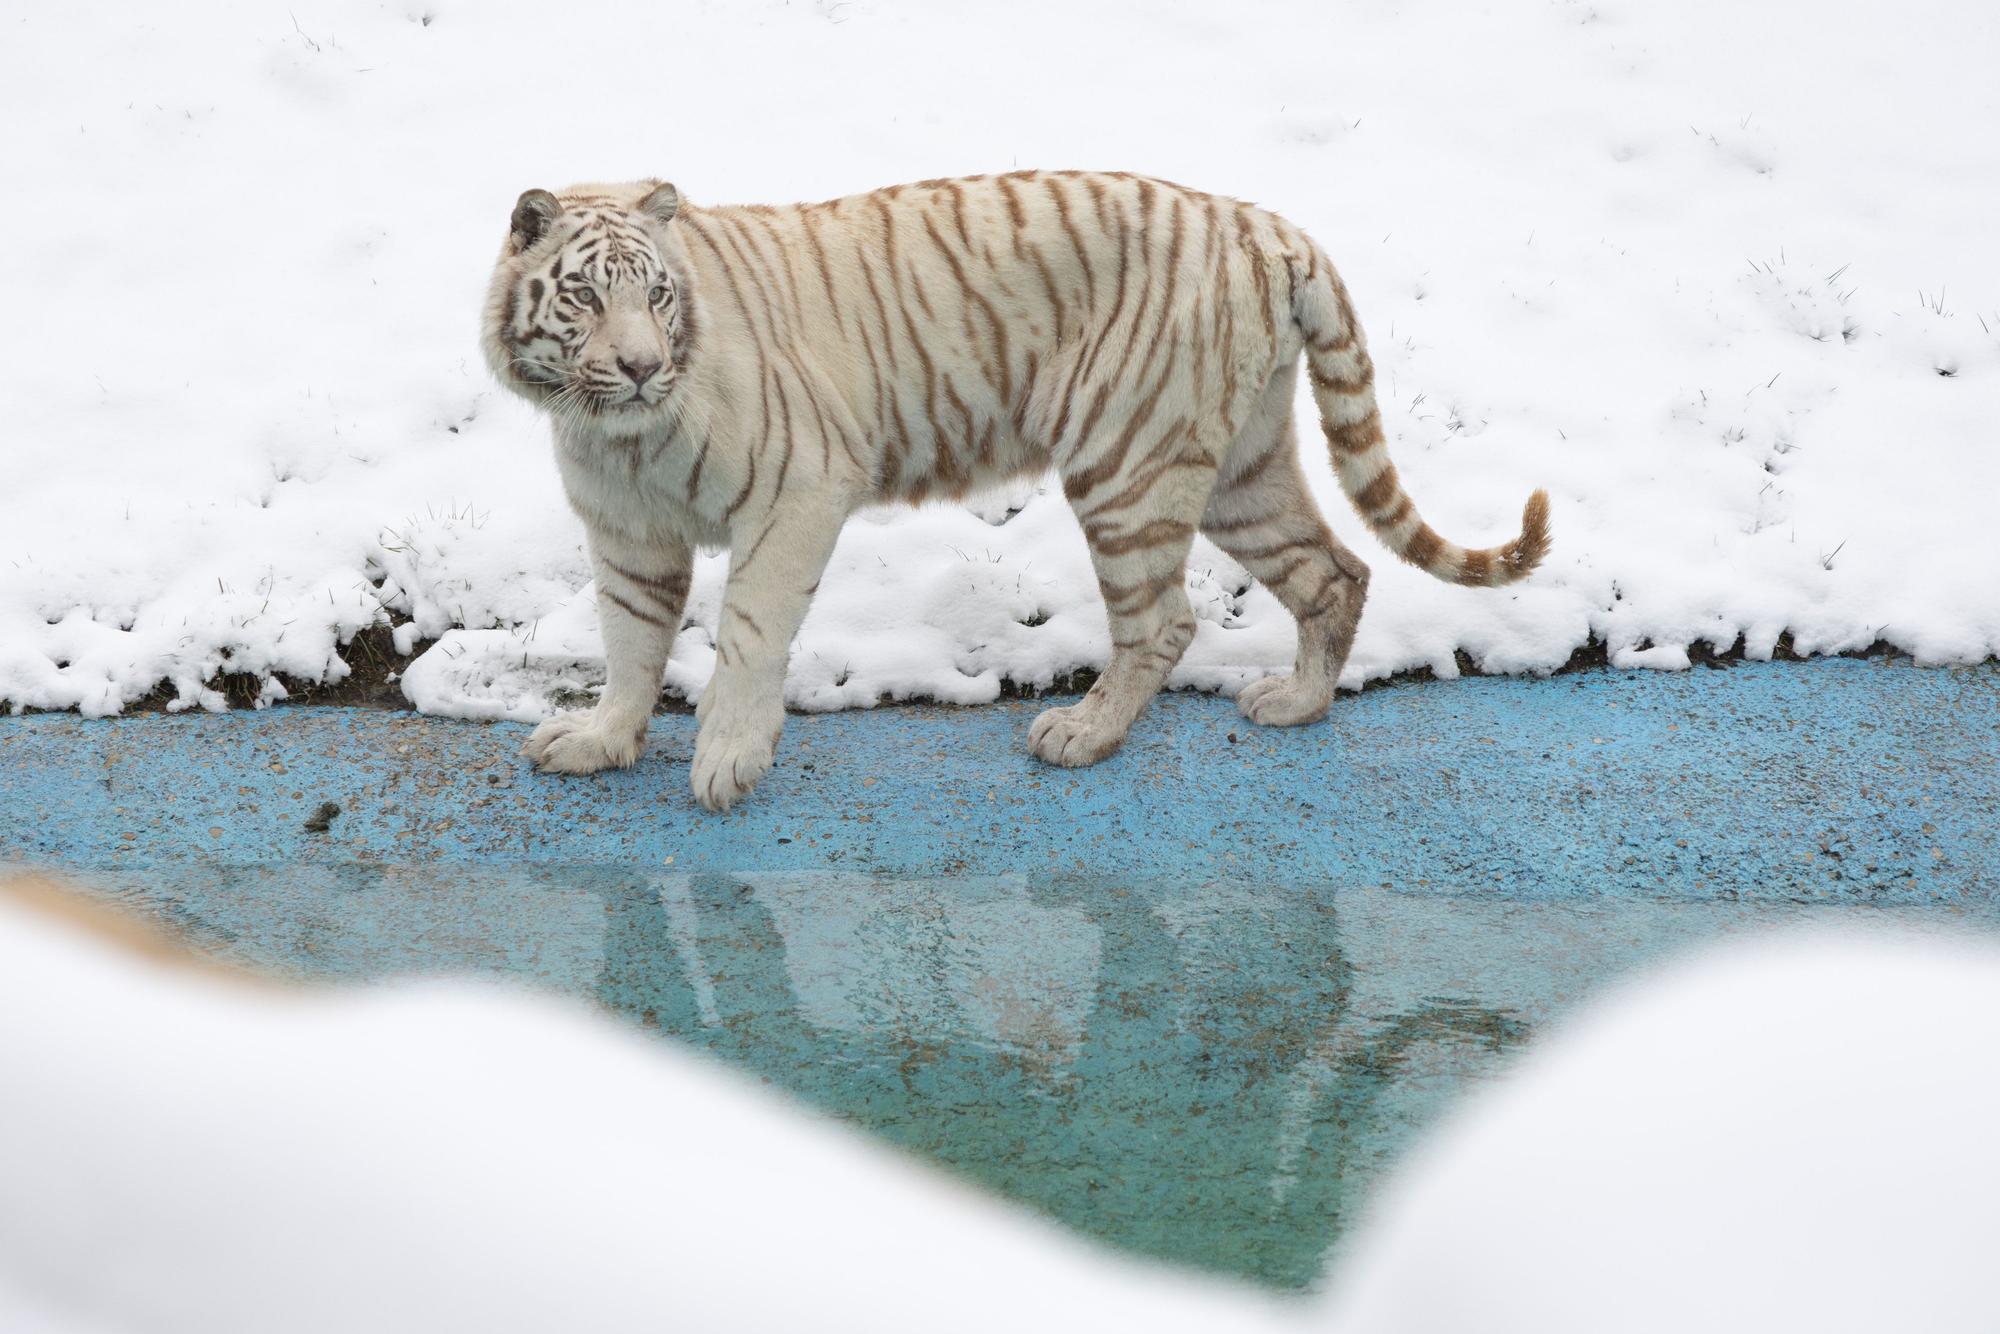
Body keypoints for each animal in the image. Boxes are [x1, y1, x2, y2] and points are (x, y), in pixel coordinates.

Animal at [481, 172, 1550, 811]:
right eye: (585, 295)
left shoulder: (797, 493)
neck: (618, 433)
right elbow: (629, 643)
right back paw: (1296, 704)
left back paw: (1083, 733)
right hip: (1242, 466)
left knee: (1164, 620)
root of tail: (1274, 228)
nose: (641, 367)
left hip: (1126, 463)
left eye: (656, 295)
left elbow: (744, 634)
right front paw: (602, 739)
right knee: (1334, 571)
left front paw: (727, 761)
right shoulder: (627, 535)